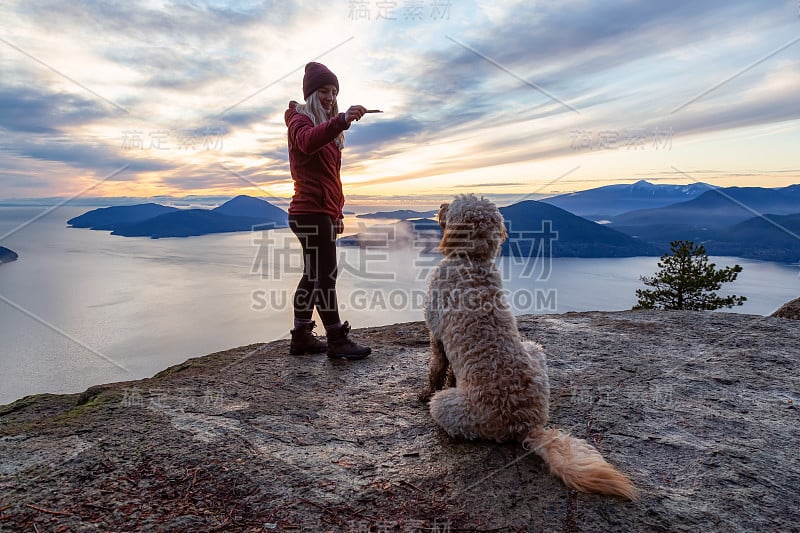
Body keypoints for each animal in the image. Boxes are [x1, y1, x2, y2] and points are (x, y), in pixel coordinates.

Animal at [418, 194, 636, 498]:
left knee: (445, 412)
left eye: (453, 205)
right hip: (535, 350)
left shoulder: (436, 331)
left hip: (447, 408)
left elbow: (437, 367)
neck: (473, 261)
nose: (439, 207)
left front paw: (427, 389)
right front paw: (450, 379)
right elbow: (449, 368)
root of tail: (526, 424)